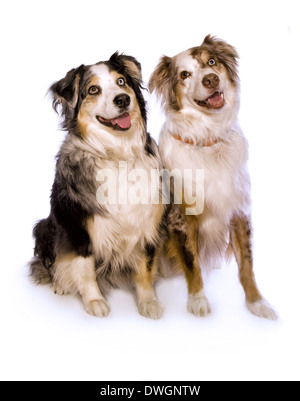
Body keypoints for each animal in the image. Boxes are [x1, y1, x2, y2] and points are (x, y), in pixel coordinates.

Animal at [29, 51, 165, 318]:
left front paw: (148, 302)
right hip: (45, 226)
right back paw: (60, 284)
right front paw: (94, 301)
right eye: (93, 89)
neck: (117, 154)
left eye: (121, 81)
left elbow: (144, 268)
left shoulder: (146, 222)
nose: (122, 99)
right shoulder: (78, 226)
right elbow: (85, 269)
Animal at [151, 36, 278, 320]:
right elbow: (192, 263)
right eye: (185, 74)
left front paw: (257, 303)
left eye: (211, 62)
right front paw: (197, 300)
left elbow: (247, 265)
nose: (210, 79)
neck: (207, 140)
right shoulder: (181, 216)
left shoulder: (239, 209)